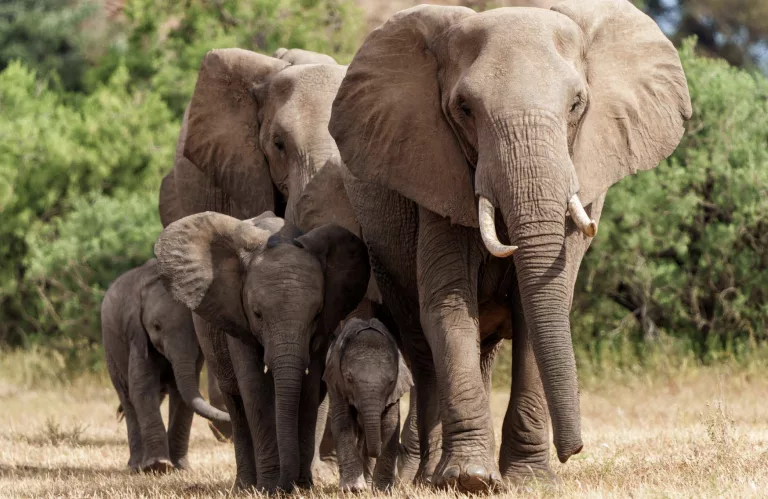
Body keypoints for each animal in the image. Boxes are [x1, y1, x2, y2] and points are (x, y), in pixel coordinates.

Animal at [100, 260, 230, 474]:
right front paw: (158, 466)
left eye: (195, 329)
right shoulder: (137, 335)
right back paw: (136, 466)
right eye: (156, 326)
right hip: (110, 348)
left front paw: (180, 467)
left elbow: (182, 394)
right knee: (127, 397)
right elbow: (142, 389)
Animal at [153, 212, 368, 492]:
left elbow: (309, 390)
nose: (286, 486)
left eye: (317, 314)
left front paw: (300, 487)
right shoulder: (237, 318)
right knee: (236, 403)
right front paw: (268, 488)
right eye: (257, 314)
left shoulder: (322, 331)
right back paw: (245, 486)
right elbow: (255, 388)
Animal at [322, 318, 414, 490]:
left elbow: (390, 424)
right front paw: (353, 490)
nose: (402, 448)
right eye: (349, 379)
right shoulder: (336, 382)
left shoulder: (395, 391)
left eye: (391, 381)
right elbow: (343, 421)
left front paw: (383, 490)